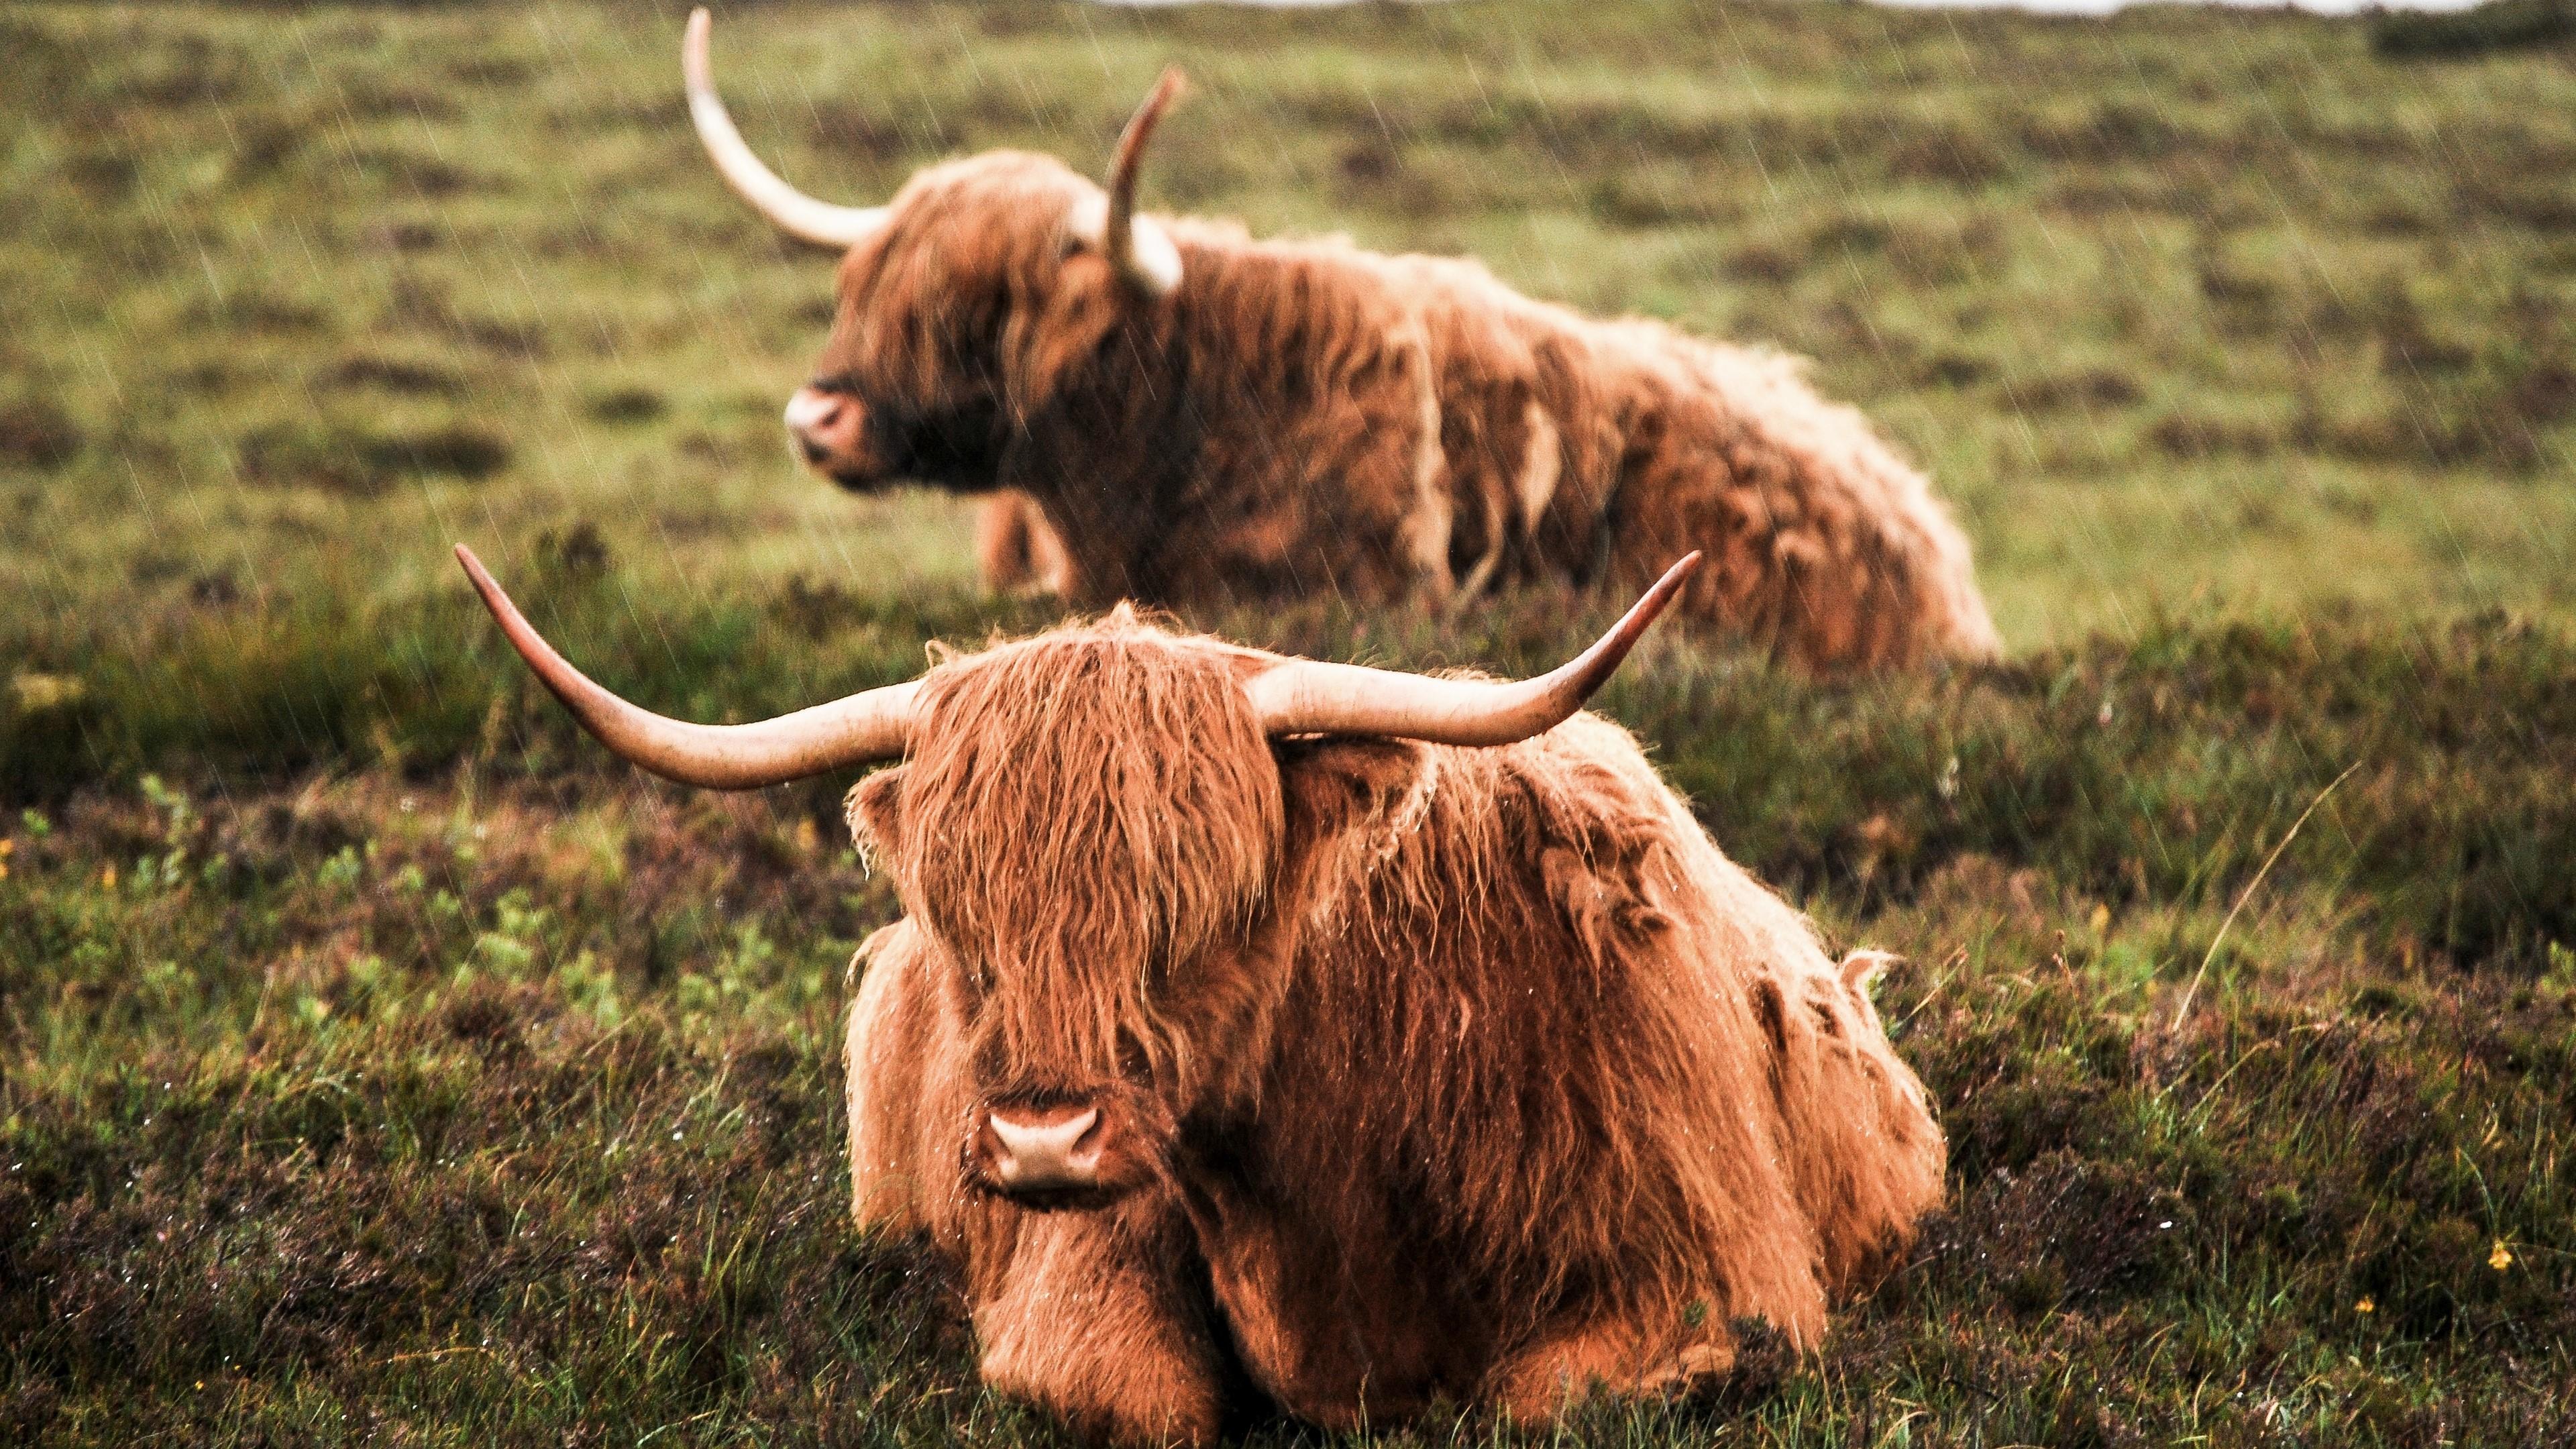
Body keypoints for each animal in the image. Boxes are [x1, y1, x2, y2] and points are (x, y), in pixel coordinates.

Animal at [456, 543, 1948, 1443]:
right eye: (966, 922)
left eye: (1193, 907)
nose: (1042, 1141)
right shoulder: (1080, 1280)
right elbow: (1144, 1401)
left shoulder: (1702, 1285)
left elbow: (1535, 1402)